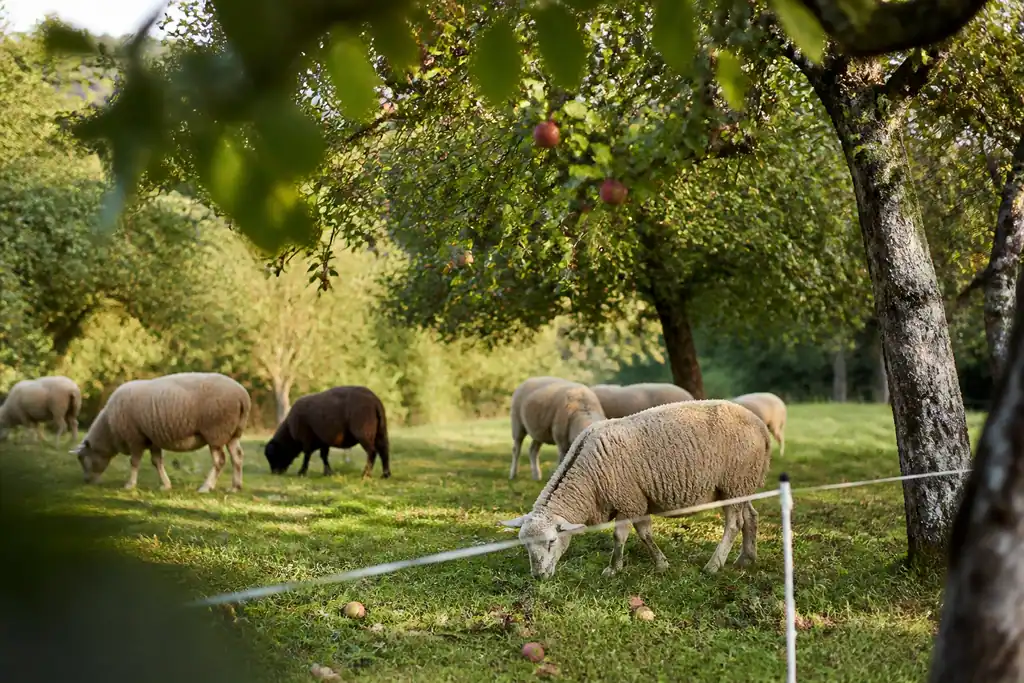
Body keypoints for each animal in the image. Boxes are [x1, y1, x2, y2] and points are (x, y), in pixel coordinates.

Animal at [70, 372, 250, 493]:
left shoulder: (134, 438)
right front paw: (166, 485)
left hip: (216, 431)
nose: (86, 481)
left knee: (220, 460)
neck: (109, 429)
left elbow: (134, 462)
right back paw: (235, 487)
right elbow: (157, 462)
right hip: (232, 434)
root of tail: (242, 396)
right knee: (237, 457)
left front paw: (130, 485)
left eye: (82, 458)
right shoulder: (151, 439)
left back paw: (206, 487)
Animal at [500, 399, 772, 579]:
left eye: (551, 541)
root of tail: (760, 425)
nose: (538, 576)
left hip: (735, 482)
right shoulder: (639, 501)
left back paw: (714, 565)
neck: (588, 479)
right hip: (740, 485)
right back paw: (746, 559)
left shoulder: (629, 500)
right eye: (525, 545)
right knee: (751, 517)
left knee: (734, 524)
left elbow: (620, 536)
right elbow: (645, 534)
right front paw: (661, 564)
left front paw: (613, 568)